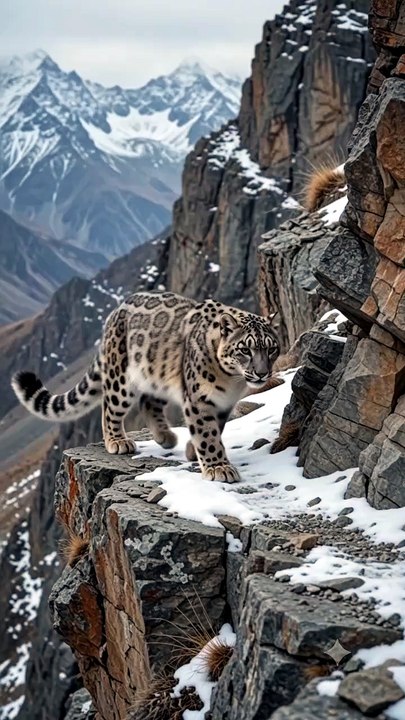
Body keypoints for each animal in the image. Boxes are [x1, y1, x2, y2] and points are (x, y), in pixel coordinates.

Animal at [12, 291, 280, 483]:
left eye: (271, 348)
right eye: (245, 349)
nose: (262, 373)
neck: (232, 382)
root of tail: (115, 312)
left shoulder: (223, 403)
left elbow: (216, 429)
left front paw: (193, 451)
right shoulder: (199, 399)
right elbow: (207, 434)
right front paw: (218, 467)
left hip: (156, 374)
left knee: (148, 402)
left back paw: (165, 436)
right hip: (122, 379)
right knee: (110, 406)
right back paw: (117, 441)